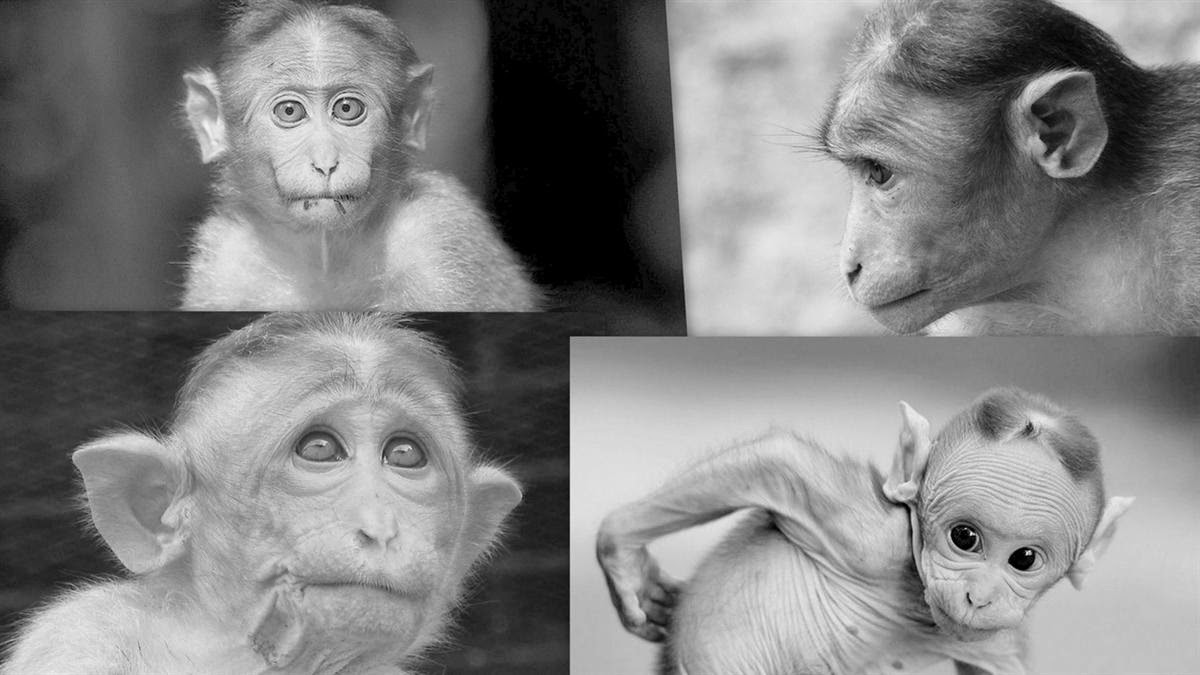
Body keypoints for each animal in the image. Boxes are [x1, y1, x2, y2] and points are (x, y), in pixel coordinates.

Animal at [180, 0, 540, 311]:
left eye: (347, 108)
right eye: (290, 111)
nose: (325, 163)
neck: (326, 251)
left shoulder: (443, 234)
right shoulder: (220, 266)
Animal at [597, 388, 1133, 675]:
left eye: (1024, 559)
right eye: (964, 537)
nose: (979, 596)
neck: (918, 601)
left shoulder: (999, 640)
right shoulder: (870, 539)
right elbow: (779, 462)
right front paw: (622, 558)